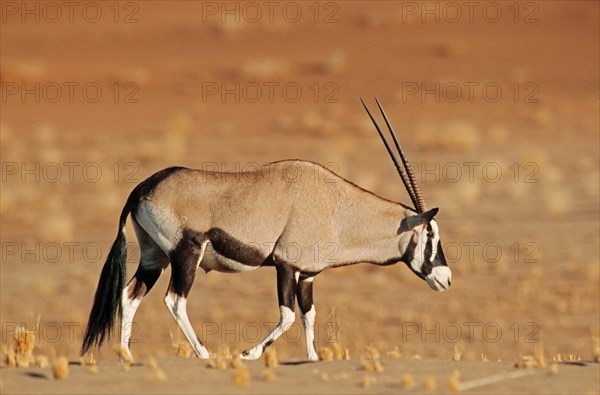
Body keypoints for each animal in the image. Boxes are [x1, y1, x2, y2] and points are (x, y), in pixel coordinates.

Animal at [82, 98, 452, 362]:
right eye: (431, 236)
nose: (446, 279)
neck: (335, 205)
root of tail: (141, 189)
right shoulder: (286, 264)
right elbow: (288, 316)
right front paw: (249, 353)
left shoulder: (308, 274)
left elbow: (308, 315)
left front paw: (312, 358)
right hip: (186, 254)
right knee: (175, 300)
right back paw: (203, 353)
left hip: (154, 256)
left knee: (130, 296)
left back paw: (127, 355)